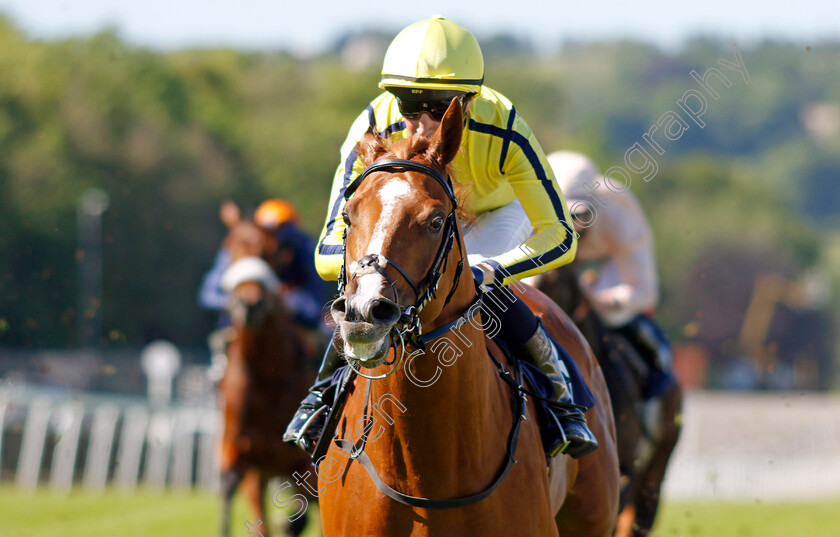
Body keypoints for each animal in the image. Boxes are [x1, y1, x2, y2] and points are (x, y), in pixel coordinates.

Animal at [217, 208, 322, 536]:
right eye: (229, 248)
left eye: (271, 252)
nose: (249, 304)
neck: (266, 375)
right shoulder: (239, 451)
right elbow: (228, 489)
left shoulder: (303, 461)